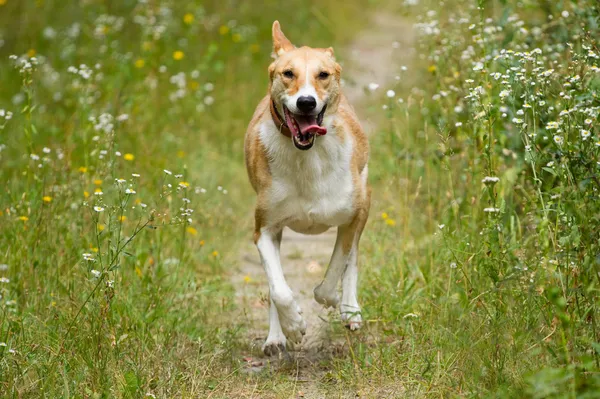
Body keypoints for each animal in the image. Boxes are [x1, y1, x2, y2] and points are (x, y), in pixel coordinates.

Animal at [245, 21, 370, 356]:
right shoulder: (265, 229)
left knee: (353, 257)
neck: (308, 158)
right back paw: (276, 337)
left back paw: (350, 309)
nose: (306, 102)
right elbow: (278, 289)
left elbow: (339, 264)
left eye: (322, 74)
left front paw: (334, 300)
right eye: (288, 73)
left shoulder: (353, 215)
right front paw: (293, 325)